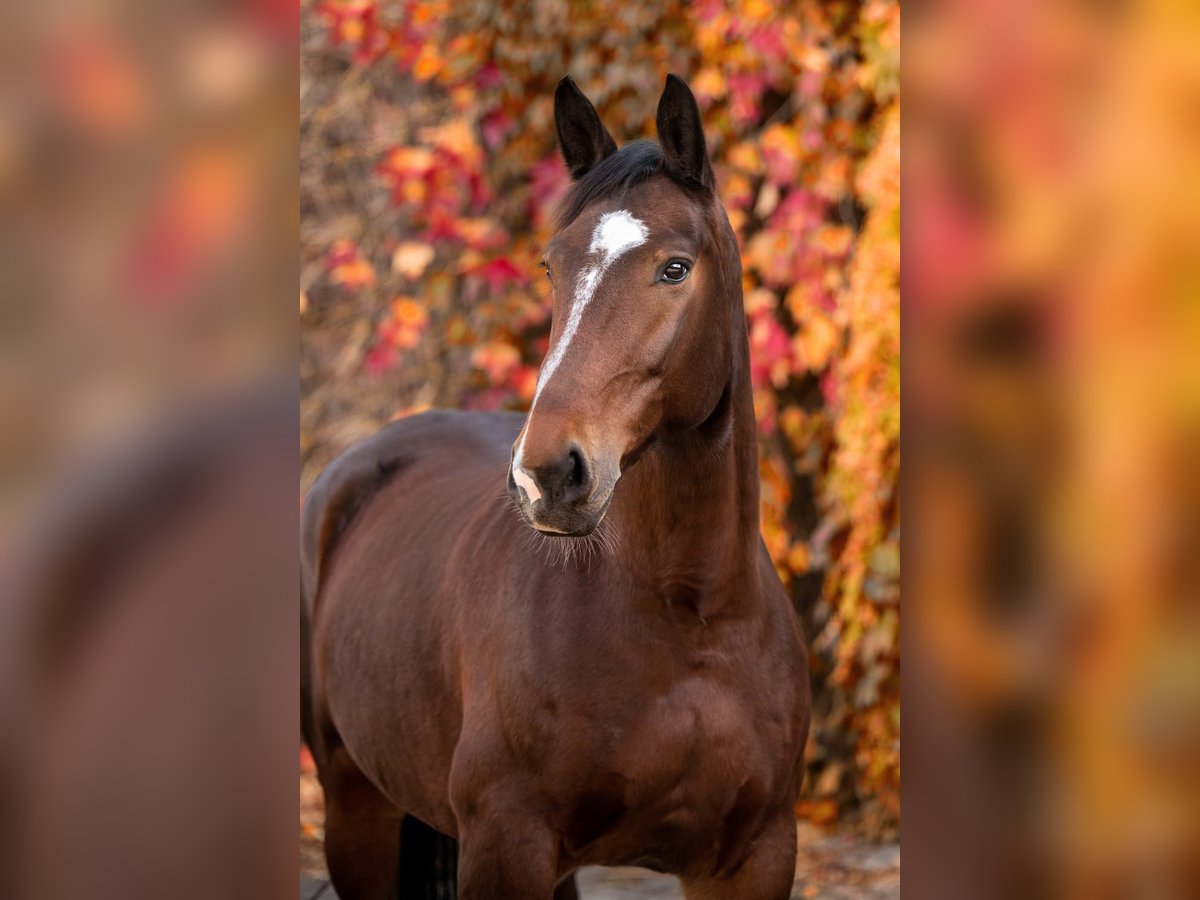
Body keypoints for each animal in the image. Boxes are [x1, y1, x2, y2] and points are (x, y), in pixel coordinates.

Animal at [300, 74, 811, 897]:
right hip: (355, 813)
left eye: (675, 267)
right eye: (551, 267)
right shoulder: (506, 844)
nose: (546, 474)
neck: (691, 615)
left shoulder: (754, 857)